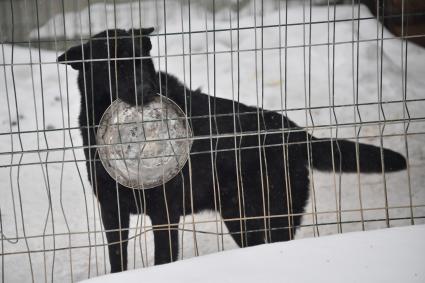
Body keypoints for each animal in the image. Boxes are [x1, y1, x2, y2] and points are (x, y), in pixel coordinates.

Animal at [58, 28, 406, 272]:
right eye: (113, 66)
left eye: (144, 64)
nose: (147, 91)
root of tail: (295, 133)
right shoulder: (112, 211)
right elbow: (118, 260)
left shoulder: (164, 214)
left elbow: (163, 259)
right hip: (242, 218)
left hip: (269, 215)